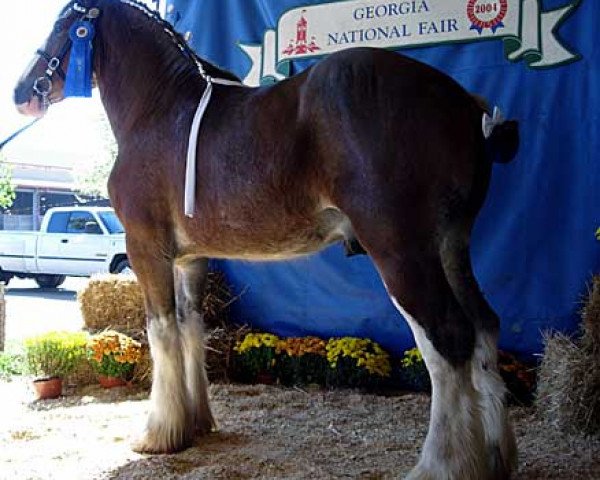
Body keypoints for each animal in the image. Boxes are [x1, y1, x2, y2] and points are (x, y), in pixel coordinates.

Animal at [14, 1, 520, 478]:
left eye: (64, 24)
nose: (22, 92)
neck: (160, 112)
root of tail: (462, 103)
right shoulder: (190, 259)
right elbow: (191, 327)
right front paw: (197, 423)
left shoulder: (145, 249)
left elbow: (161, 331)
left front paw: (160, 433)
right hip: (451, 246)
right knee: (484, 327)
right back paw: (496, 457)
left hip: (400, 251)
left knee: (446, 340)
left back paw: (441, 466)